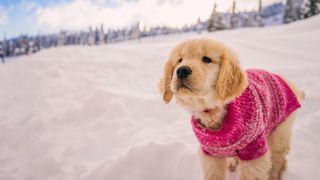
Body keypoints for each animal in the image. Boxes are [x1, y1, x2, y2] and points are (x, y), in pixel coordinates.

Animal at [160, 38, 304, 180]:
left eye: (207, 59)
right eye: (180, 60)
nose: (182, 70)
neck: (213, 109)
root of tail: (284, 79)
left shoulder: (254, 150)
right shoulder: (211, 154)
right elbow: (214, 175)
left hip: (280, 131)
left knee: (277, 159)